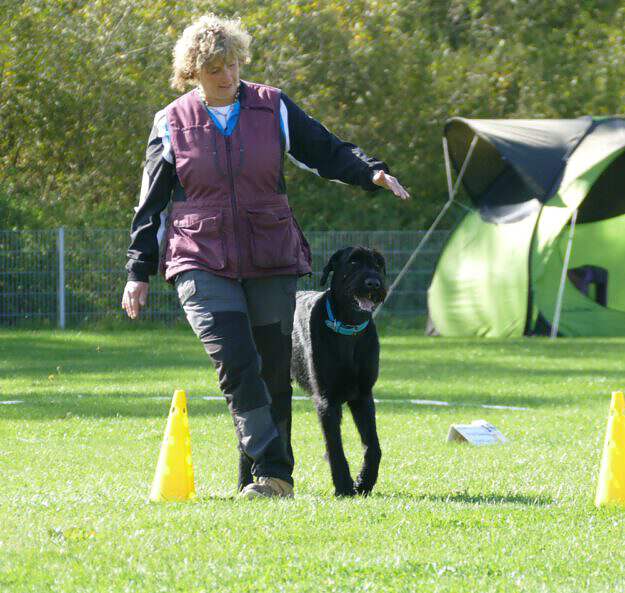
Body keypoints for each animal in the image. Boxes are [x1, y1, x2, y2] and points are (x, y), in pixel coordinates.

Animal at [291, 246, 387, 496]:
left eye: (378, 264)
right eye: (353, 262)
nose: (373, 283)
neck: (348, 329)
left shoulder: (363, 396)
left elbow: (373, 445)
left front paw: (364, 481)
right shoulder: (327, 400)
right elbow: (335, 446)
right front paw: (344, 485)